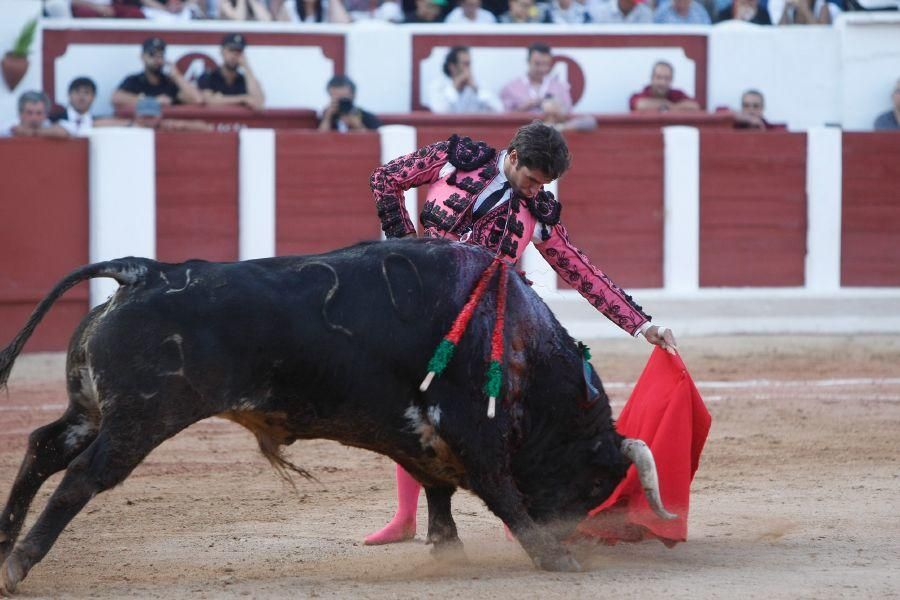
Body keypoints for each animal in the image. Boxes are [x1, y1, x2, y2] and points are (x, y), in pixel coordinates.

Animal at [0, 238, 660, 592]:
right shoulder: (476, 429)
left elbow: (438, 488)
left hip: (90, 408)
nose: (573, 534)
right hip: (142, 418)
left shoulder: (417, 433)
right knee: (82, 476)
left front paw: (448, 551)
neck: (521, 340)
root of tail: (144, 271)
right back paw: (19, 564)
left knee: (42, 447)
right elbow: (500, 491)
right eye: (595, 483)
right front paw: (554, 557)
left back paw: (5, 542)